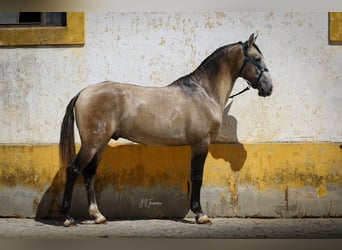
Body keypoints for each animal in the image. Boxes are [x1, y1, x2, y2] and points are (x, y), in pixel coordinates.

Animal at [58, 33, 272, 227]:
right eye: (257, 58)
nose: (269, 88)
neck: (204, 92)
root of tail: (83, 93)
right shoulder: (201, 143)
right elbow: (197, 177)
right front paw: (200, 214)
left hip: (100, 144)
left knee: (89, 175)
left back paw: (98, 216)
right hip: (91, 144)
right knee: (73, 170)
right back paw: (68, 217)